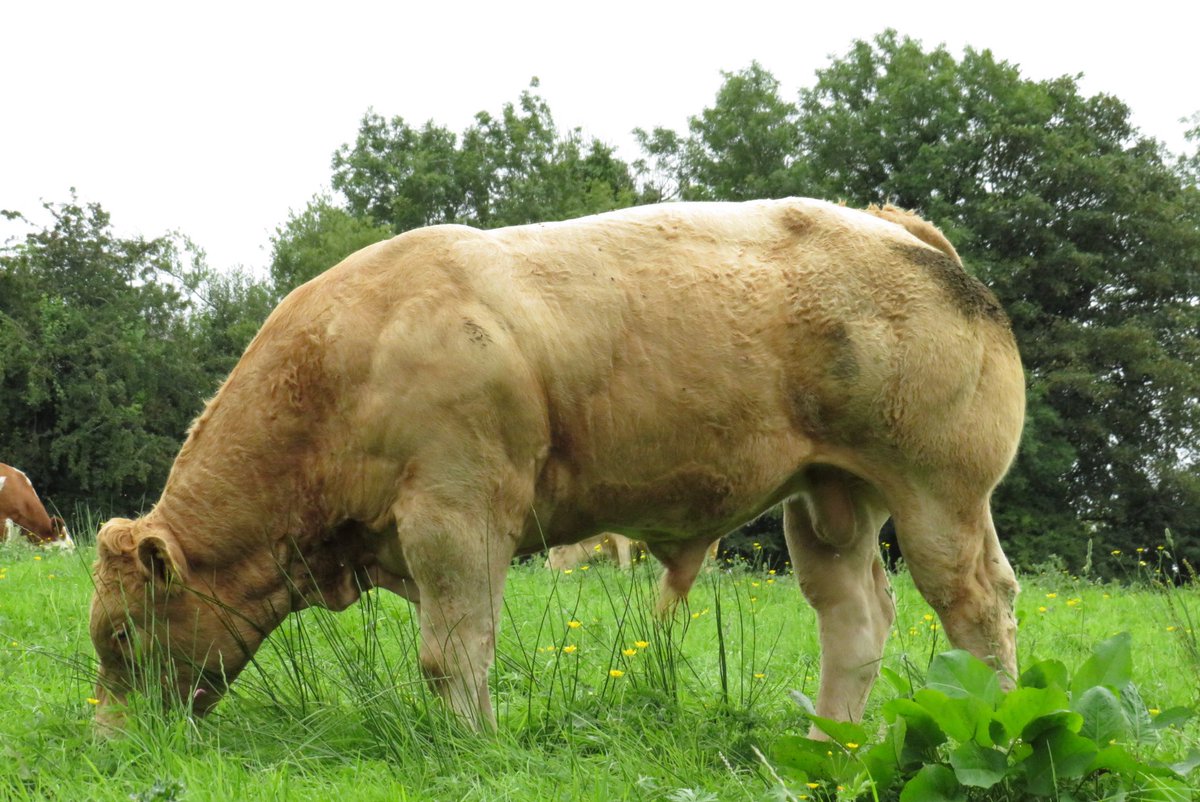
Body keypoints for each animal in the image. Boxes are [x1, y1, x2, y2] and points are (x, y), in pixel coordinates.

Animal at [88, 198, 1025, 734]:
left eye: (123, 633)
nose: (113, 741)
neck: (344, 361)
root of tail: (891, 223)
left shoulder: (456, 515)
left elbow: (452, 652)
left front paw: (472, 748)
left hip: (941, 494)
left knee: (978, 606)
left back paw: (993, 719)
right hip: (834, 497)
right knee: (856, 619)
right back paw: (826, 744)